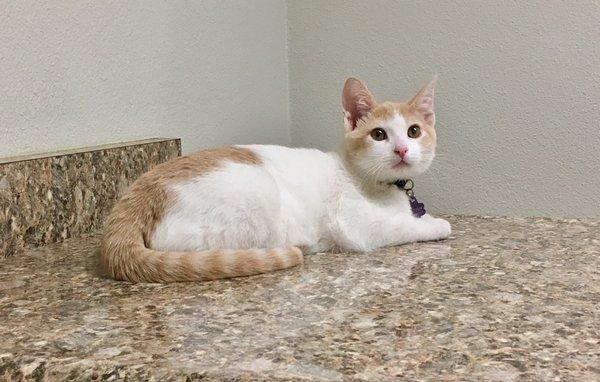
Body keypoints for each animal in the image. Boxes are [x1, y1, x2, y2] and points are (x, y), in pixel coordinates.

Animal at [102, 76, 450, 282]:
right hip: (256, 196)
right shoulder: (354, 225)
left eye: (414, 131)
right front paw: (436, 223)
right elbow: (401, 226)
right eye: (379, 135)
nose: (402, 149)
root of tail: (143, 187)